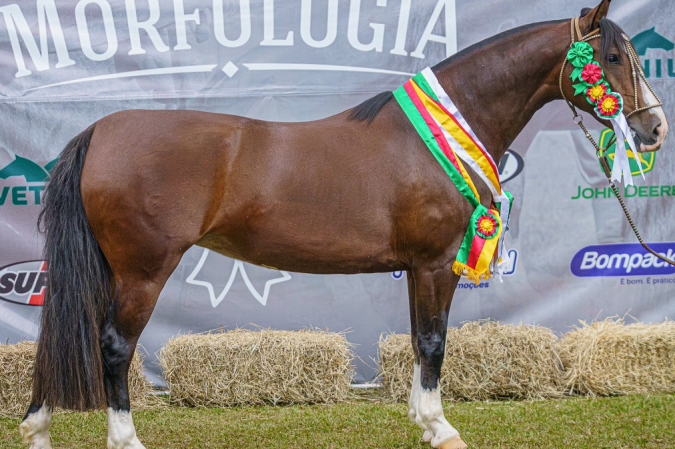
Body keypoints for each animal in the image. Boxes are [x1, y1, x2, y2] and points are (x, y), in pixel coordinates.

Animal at [19, 1, 667, 448]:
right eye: (611, 58)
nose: (655, 128)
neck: (438, 134)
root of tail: (101, 129)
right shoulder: (436, 263)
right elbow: (433, 341)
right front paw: (441, 427)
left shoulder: (416, 268)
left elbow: (418, 339)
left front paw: (422, 421)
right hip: (143, 271)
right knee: (112, 345)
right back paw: (125, 438)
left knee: (62, 336)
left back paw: (37, 428)